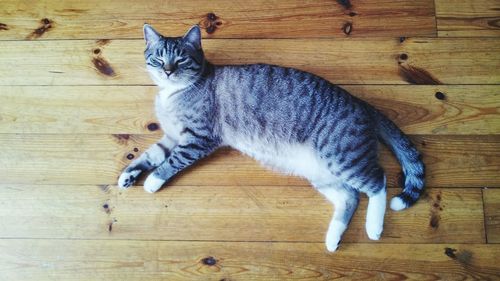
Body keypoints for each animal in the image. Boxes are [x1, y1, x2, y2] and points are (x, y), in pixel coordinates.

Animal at [118, 24, 426, 252]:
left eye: (181, 58)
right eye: (158, 57)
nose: (168, 70)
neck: (175, 93)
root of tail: (362, 103)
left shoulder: (198, 138)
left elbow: (170, 162)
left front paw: (153, 181)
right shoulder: (171, 137)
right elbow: (152, 154)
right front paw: (129, 175)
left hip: (343, 157)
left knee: (378, 182)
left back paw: (374, 227)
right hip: (319, 172)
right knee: (349, 197)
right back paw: (333, 238)